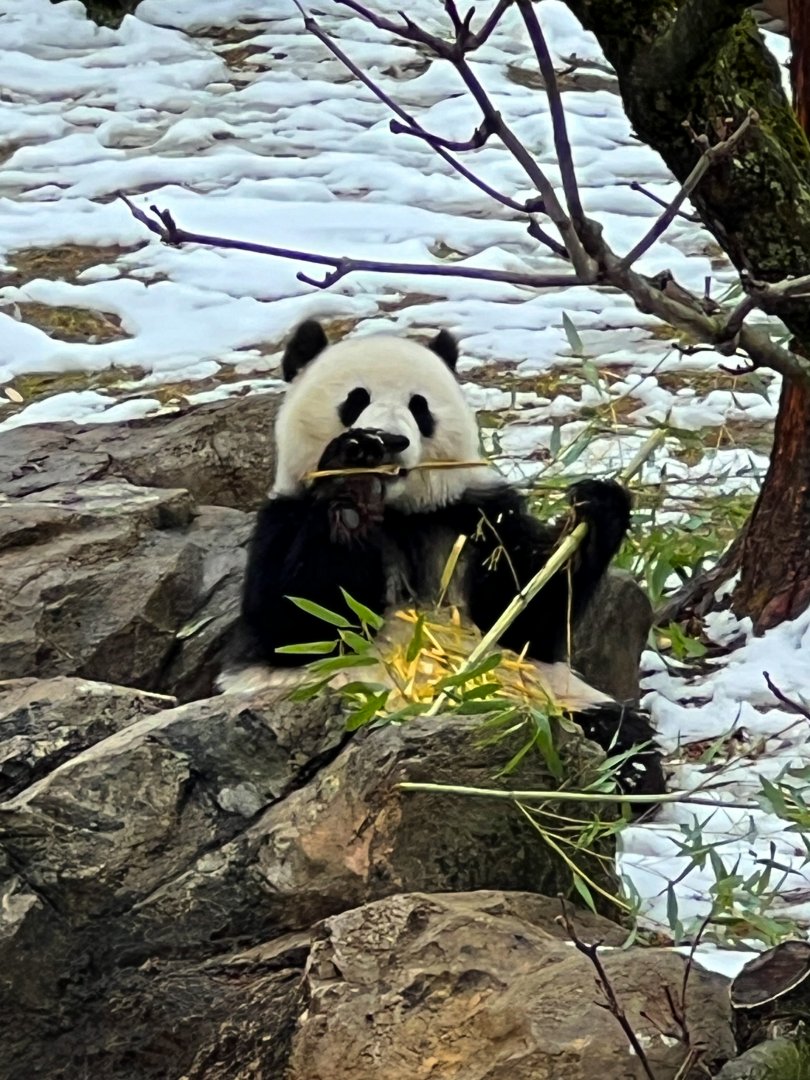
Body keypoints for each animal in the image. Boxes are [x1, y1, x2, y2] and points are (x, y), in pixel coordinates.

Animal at [219, 319, 664, 802]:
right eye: (356, 400)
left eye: (420, 407)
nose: (391, 442)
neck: (397, 513)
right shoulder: (283, 519)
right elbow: (300, 621)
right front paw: (352, 479)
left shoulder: (475, 516)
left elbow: (524, 616)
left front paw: (595, 510)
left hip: (548, 694)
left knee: (618, 735)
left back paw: (622, 772)